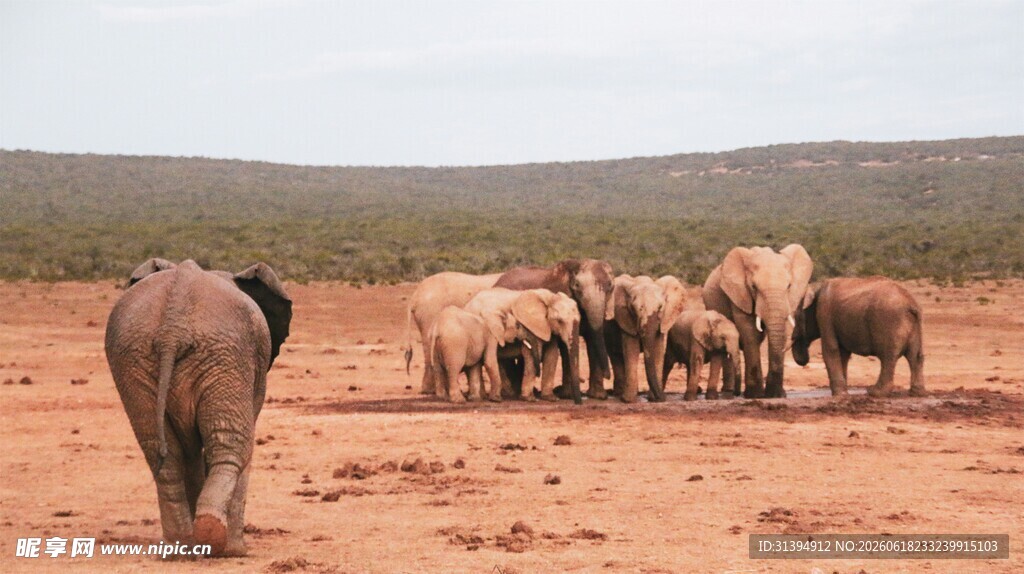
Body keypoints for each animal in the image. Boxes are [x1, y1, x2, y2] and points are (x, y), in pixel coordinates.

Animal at [104, 258, 292, 557]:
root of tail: (172, 328)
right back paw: (220, 543)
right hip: (226, 356)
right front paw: (235, 550)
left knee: (163, 454)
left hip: (133, 359)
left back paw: (180, 545)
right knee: (231, 446)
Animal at [493, 258, 614, 402]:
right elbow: (565, 346)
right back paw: (513, 393)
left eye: (610, 286)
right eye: (577, 285)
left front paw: (599, 396)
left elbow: (592, 338)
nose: (608, 375)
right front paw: (567, 395)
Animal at [604, 274, 687, 403]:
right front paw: (628, 400)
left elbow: (658, 350)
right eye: (634, 308)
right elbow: (631, 349)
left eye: (660, 307)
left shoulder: (663, 321)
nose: (663, 398)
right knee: (616, 356)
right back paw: (619, 394)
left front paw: (653, 399)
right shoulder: (626, 319)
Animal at [703, 244, 813, 398]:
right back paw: (728, 392)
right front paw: (755, 395)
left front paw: (776, 395)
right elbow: (750, 333)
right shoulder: (740, 295)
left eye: (789, 286)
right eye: (754, 287)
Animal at [792, 276, 926, 397]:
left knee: (888, 356)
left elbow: (831, 349)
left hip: (890, 321)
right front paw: (843, 393)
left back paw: (874, 393)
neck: (815, 286)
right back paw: (917, 393)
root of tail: (910, 302)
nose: (803, 361)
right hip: (915, 324)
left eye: (795, 317)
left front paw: (839, 395)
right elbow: (843, 353)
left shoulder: (824, 313)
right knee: (915, 356)